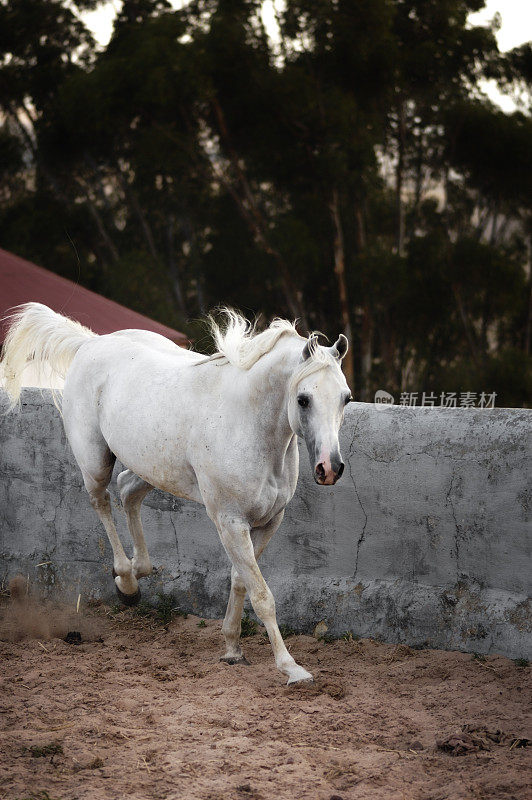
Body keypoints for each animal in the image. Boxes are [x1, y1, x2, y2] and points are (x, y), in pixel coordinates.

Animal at [5, 304, 354, 684]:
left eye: (346, 398)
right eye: (303, 399)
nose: (330, 468)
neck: (245, 423)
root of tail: (90, 344)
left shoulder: (268, 522)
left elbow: (241, 580)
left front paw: (232, 649)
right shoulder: (230, 522)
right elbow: (262, 595)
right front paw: (291, 668)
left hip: (152, 467)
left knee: (128, 491)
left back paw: (138, 572)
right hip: (94, 461)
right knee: (102, 502)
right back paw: (126, 583)